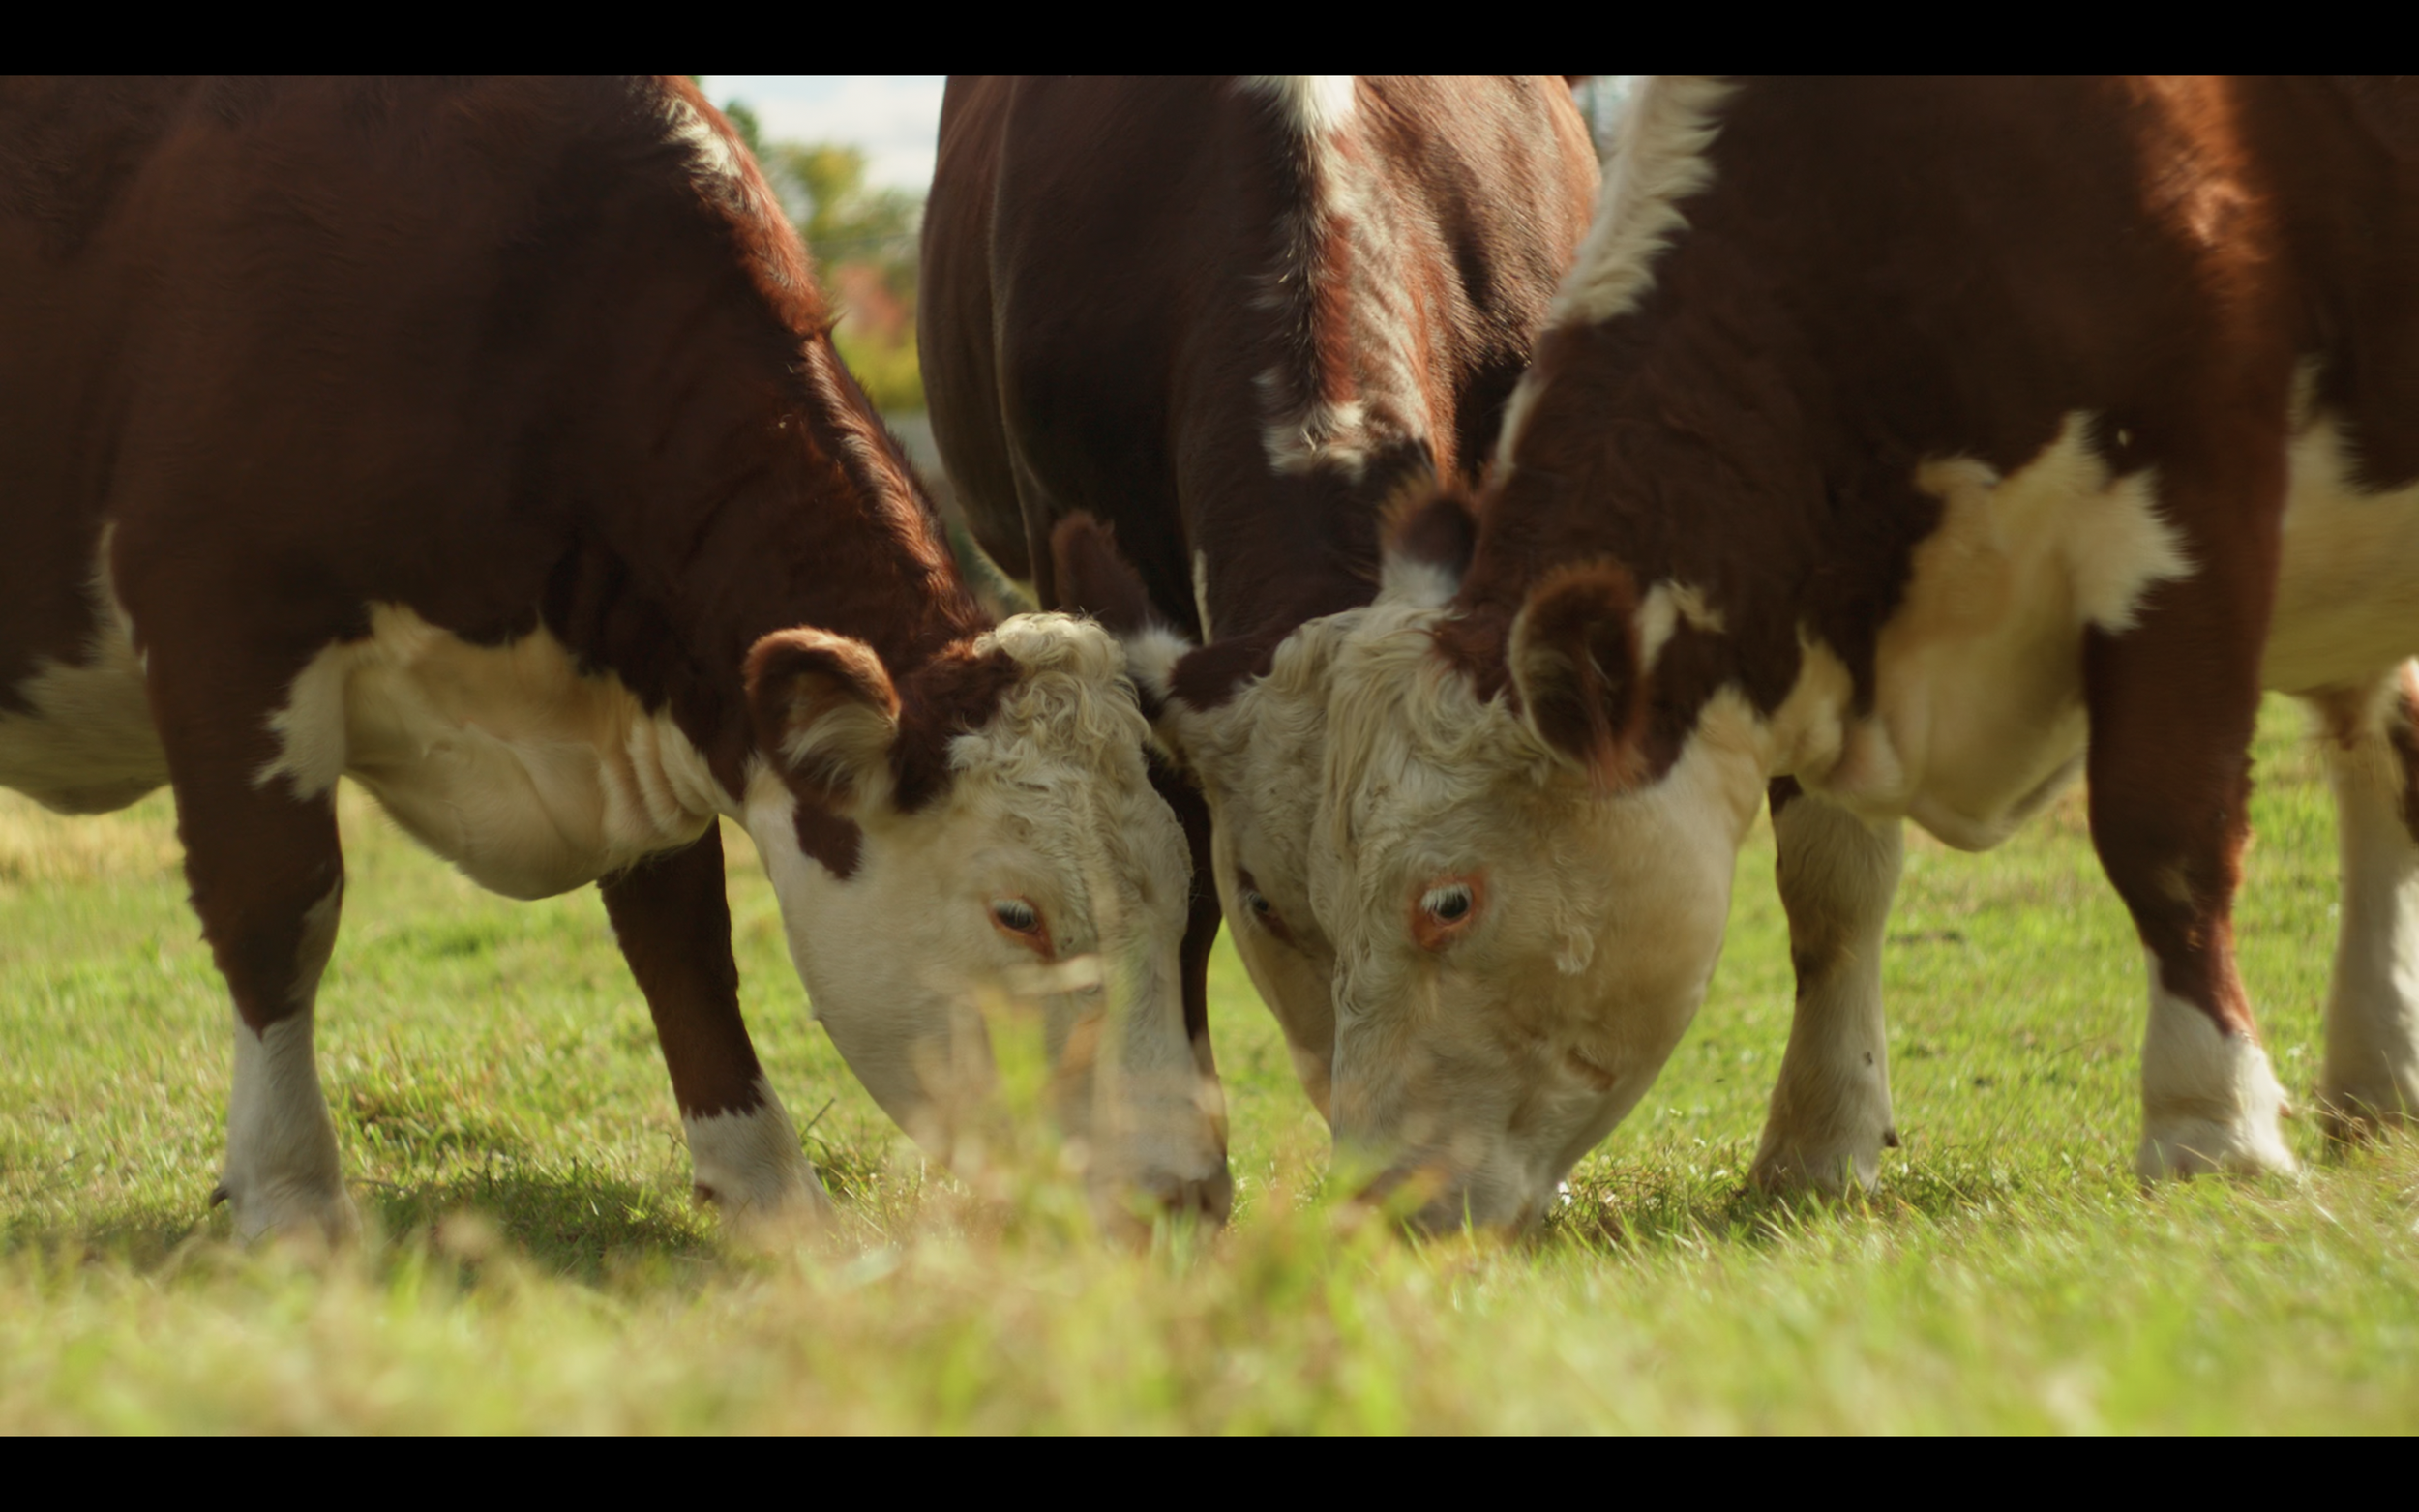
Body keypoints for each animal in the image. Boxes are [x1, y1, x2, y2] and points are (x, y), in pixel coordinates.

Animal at [0, 76, 1220, 1242]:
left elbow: (683, 942)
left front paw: (769, 1191)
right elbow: (276, 914)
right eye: (1019, 916)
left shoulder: (643, 698)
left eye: (1188, 897)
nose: (1190, 1197)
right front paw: (291, 1200)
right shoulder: (223, 621)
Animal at [1304, 76, 2419, 1230]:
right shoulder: (1815, 624)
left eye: (1449, 902)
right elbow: (1829, 890)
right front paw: (1817, 1142)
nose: (1372, 1195)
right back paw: (2376, 1074)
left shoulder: (2192, 517)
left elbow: (2164, 832)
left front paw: (2211, 1124)